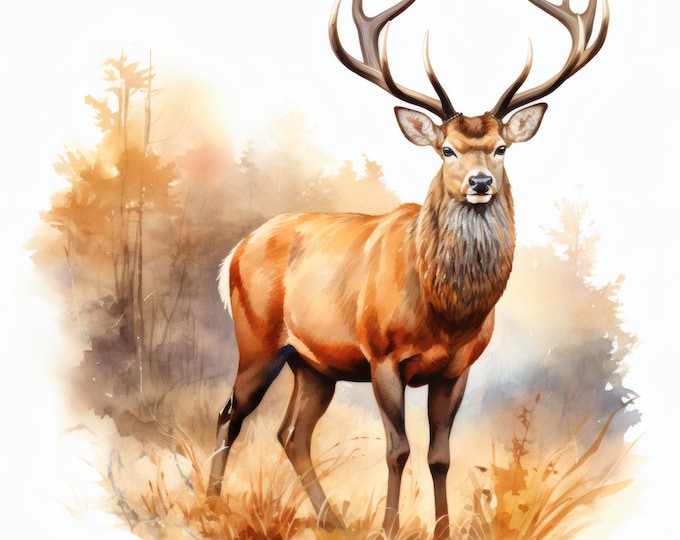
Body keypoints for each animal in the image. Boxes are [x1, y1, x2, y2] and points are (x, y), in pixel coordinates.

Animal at [206, 0, 609, 537]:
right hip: (257, 340)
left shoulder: (458, 367)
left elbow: (440, 454)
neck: (445, 315)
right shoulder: (381, 355)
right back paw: (209, 504)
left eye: (501, 148)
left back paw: (332, 518)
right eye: (447, 149)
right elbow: (397, 449)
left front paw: (442, 528)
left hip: (314, 365)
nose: (480, 183)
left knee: (291, 433)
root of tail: (235, 251)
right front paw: (390, 526)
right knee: (230, 412)